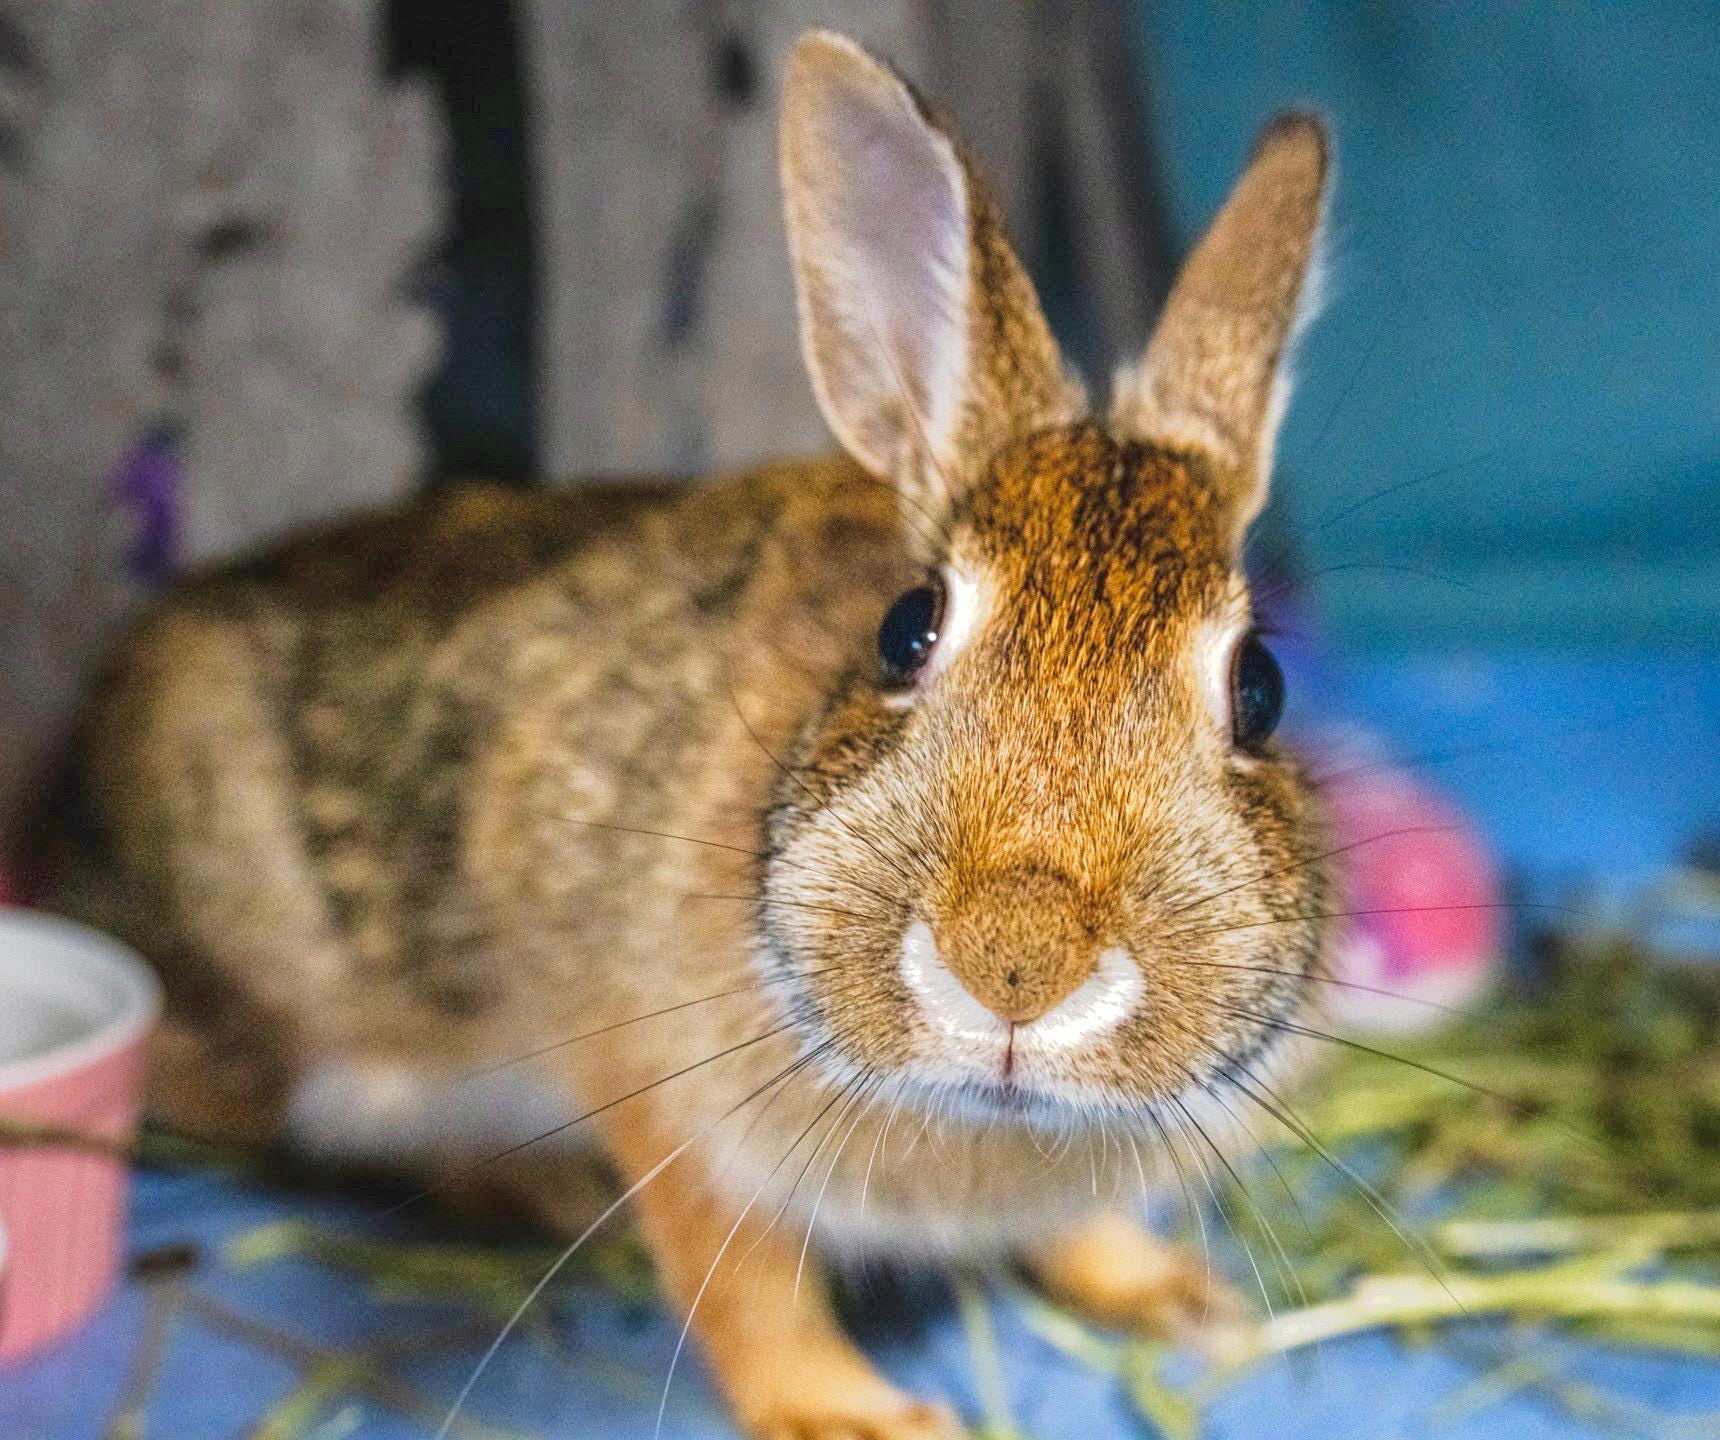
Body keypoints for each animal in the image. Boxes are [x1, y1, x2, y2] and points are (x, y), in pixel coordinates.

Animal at [54, 29, 1333, 1440]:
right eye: (907, 629)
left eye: (1260, 688)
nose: (1014, 963)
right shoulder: (657, 1083)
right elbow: (742, 1279)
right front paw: (856, 1417)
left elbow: (1072, 1224)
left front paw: (1176, 1297)